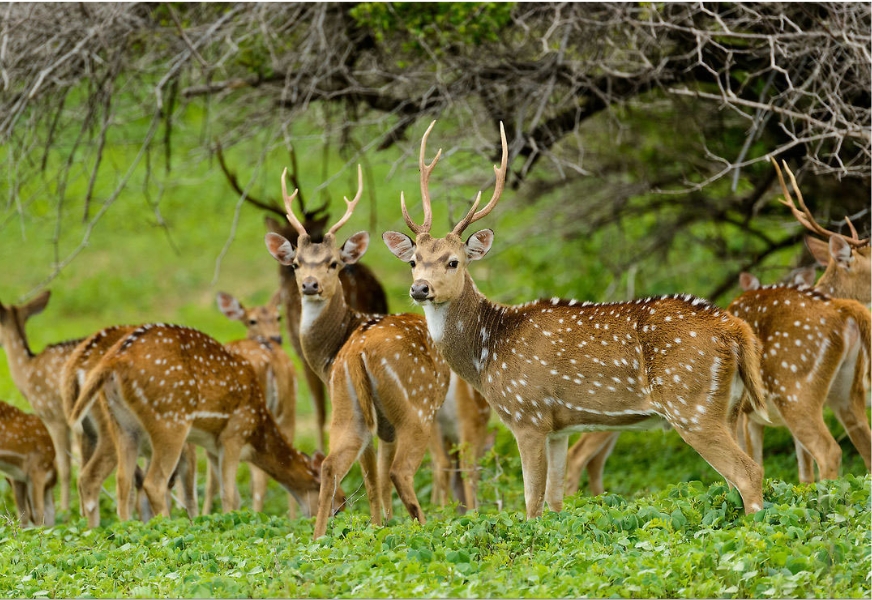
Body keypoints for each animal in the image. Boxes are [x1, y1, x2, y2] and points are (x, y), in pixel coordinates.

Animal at [264, 165, 451, 540]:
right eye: (296, 263)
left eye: (333, 263)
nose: (309, 285)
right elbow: (377, 472)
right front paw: (384, 522)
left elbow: (372, 473)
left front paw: (381, 523)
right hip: (416, 407)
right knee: (407, 468)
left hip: (355, 409)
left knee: (333, 463)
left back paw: (319, 536)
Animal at [383, 121, 771, 518]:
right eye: (413, 260)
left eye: (453, 261)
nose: (420, 288)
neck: (487, 353)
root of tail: (734, 329)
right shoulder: (559, 428)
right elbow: (555, 502)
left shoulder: (528, 414)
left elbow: (532, 502)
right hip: (730, 406)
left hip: (691, 404)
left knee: (749, 473)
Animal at [727, 159, 871, 482]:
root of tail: (844, 310)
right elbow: (802, 473)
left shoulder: (745, 412)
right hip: (846, 390)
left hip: (794, 388)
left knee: (830, 451)